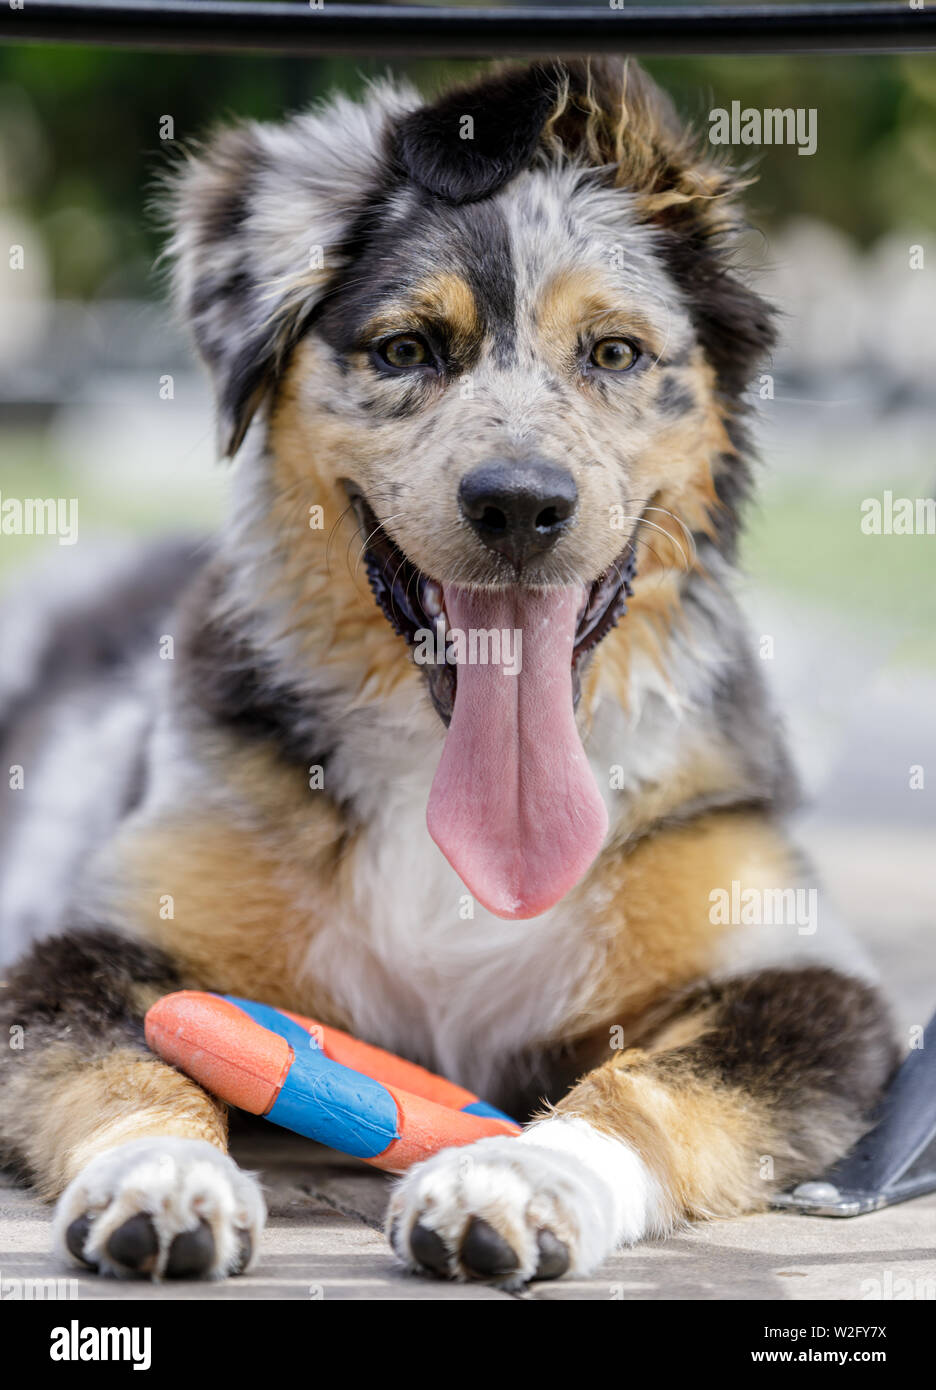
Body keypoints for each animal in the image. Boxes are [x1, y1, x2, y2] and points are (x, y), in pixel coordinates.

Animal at [0, 56, 895, 1289]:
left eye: (615, 353)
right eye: (405, 350)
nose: (519, 504)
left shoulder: (808, 979)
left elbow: (651, 1085)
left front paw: (519, 1176)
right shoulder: (84, 946)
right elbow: (139, 1059)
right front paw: (161, 1174)